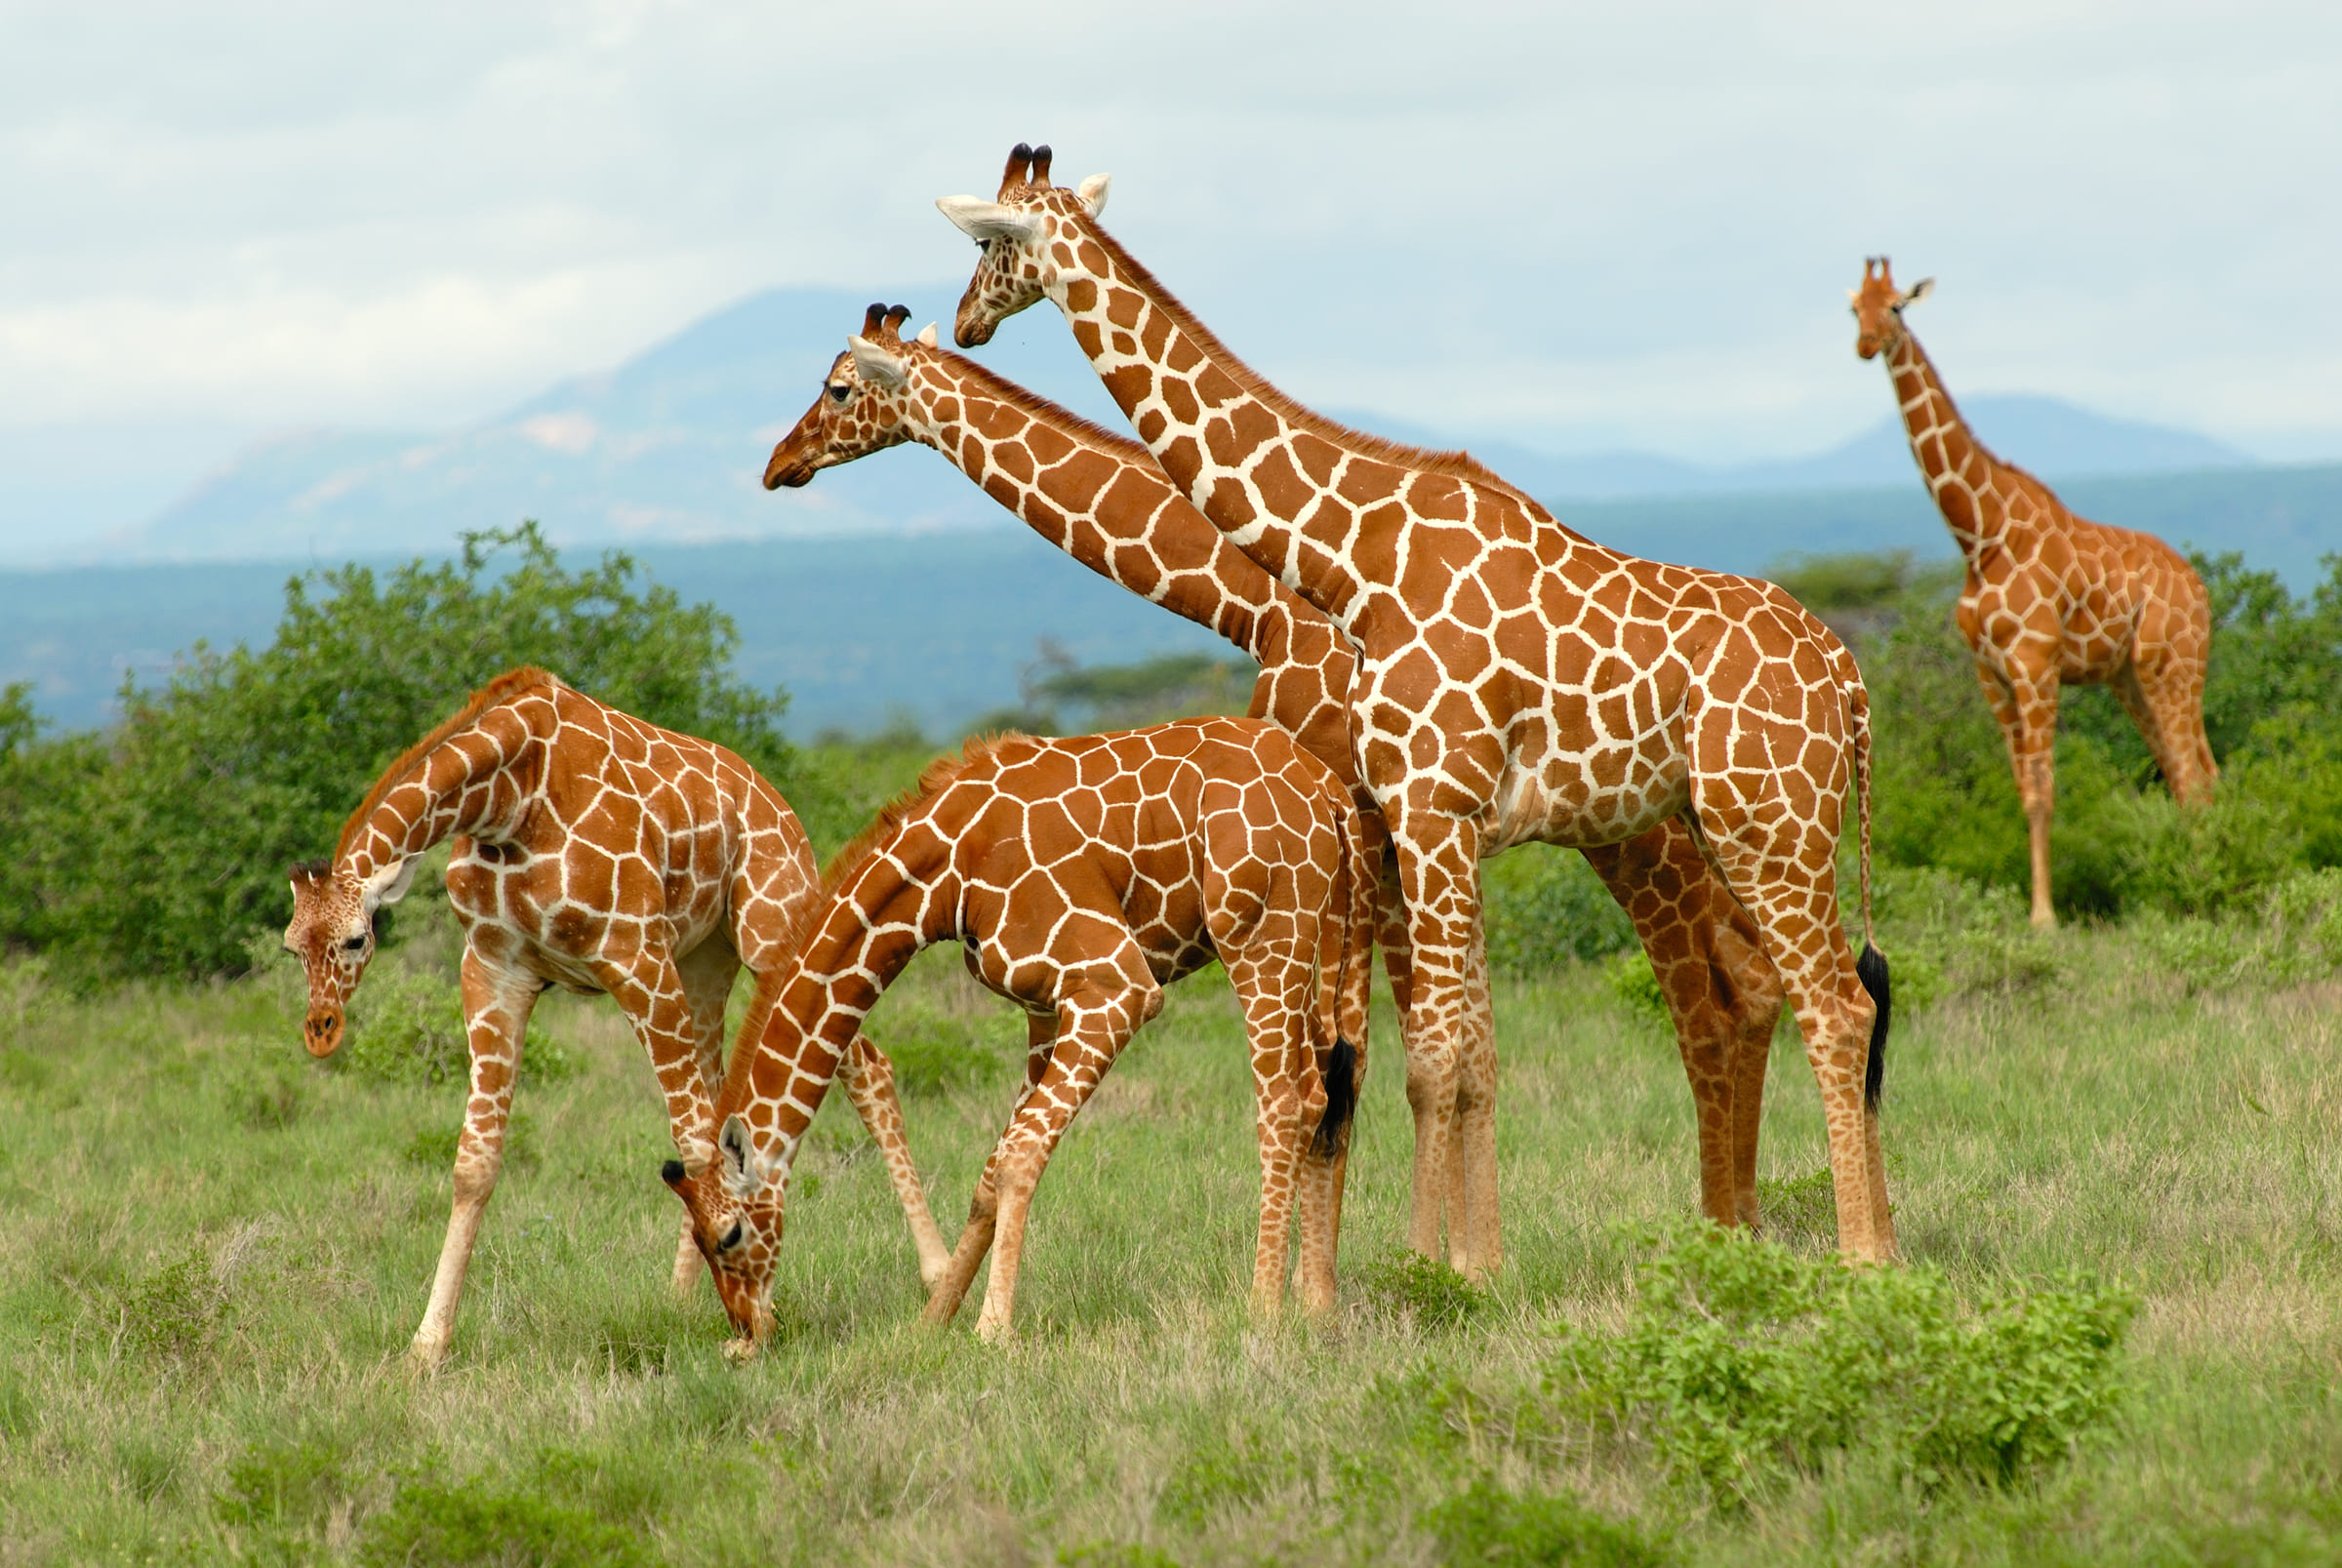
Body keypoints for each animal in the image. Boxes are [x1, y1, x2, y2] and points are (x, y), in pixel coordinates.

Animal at [288, 668, 946, 1366]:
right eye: (291, 946)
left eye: (357, 939)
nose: (321, 1030)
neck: (509, 796)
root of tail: (775, 799)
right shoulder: (492, 969)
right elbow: (475, 1162)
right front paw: (427, 1346)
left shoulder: (632, 952)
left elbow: (693, 1138)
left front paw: (751, 1322)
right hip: (704, 959)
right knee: (722, 1093)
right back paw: (681, 1297)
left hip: (770, 926)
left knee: (865, 1066)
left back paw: (933, 1273)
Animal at [660, 720, 1377, 1347]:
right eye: (696, 1238)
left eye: (728, 1236)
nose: (749, 1333)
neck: (944, 870)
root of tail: (1329, 794)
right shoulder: (1044, 1005)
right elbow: (992, 1167)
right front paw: (930, 1324)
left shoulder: (1114, 984)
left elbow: (1020, 1156)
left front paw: (992, 1329)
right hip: (1328, 935)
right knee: (1330, 1093)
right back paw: (1318, 1305)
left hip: (1261, 934)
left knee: (1284, 1102)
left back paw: (1264, 1308)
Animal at [758, 302, 1780, 1245]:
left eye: (839, 387)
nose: (779, 464)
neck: (1261, 601)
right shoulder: (1381, 836)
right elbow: (1422, 1052)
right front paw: (1437, 1258)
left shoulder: (1364, 826)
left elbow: (1371, 1057)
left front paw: (1413, 1267)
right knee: (1740, 974)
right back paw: (1736, 1218)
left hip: (1643, 834)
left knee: (1714, 992)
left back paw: (1730, 1220)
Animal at [941, 147, 1892, 1272]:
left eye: (988, 243)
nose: (962, 320)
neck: (1357, 558)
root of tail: (1848, 675)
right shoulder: (1430, 819)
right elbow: (1458, 1050)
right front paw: (1466, 1263)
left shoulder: (1427, 809)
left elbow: (1432, 1055)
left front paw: (1436, 1272)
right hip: (1745, 823)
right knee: (1828, 993)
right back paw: (1859, 1240)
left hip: (1769, 823)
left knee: (1831, 1004)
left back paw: (1861, 1257)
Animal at [1845, 255, 2210, 922]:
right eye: (1855, 306)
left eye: (1897, 306)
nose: (1865, 344)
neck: (1980, 533)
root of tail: (2201, 590)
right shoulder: (1990, 671)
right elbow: (2022, 788)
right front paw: (2035, 909)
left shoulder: (2035, 661)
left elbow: (2042, 788)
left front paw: (2044, 917)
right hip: (2131, 677)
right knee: (2189, 773)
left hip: (2173, 666)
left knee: (2194, 780)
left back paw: (2202, 888)